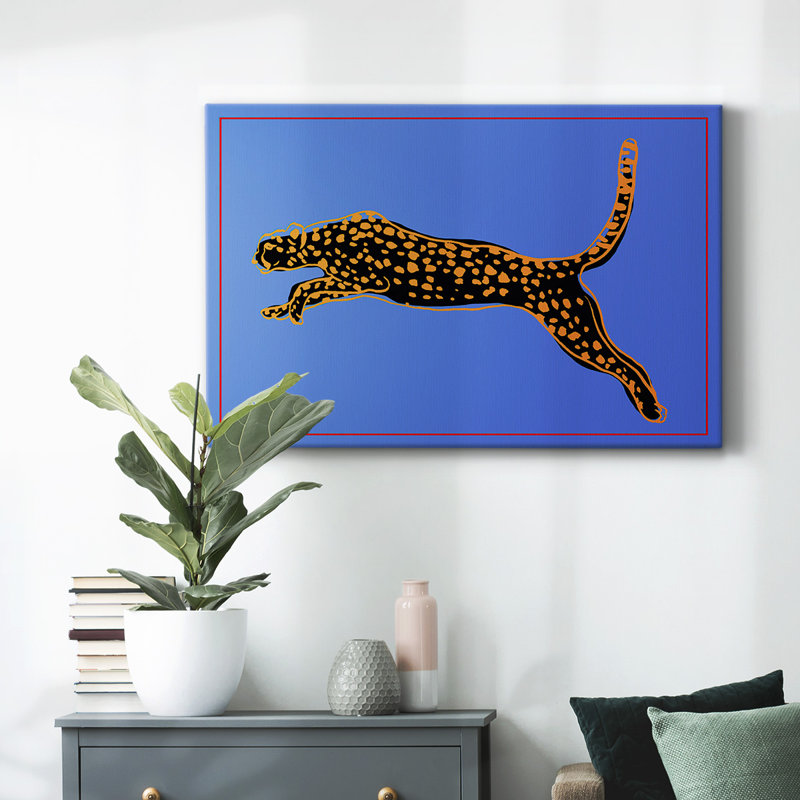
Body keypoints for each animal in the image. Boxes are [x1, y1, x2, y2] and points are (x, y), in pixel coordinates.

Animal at [253, 138, 665, 422]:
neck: (323, 239)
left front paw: (292, 305)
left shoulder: (369, 282)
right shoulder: (345, 282)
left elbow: (307, 285)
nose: (255, 255)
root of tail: (558, 264)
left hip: (573, 331)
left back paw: (648, 406)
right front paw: (282, 309)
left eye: (268, 247)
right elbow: (309, 288)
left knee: (625, 365)